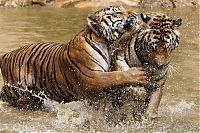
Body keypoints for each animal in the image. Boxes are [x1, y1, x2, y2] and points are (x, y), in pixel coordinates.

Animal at [0, 6, 147, 110]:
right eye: (117, 13)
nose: (136, 14)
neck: (107, 43)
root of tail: (6, 55)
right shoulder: (91, 78)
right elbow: (115, 77)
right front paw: (139, 75)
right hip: (16, 89)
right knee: (3, 93)